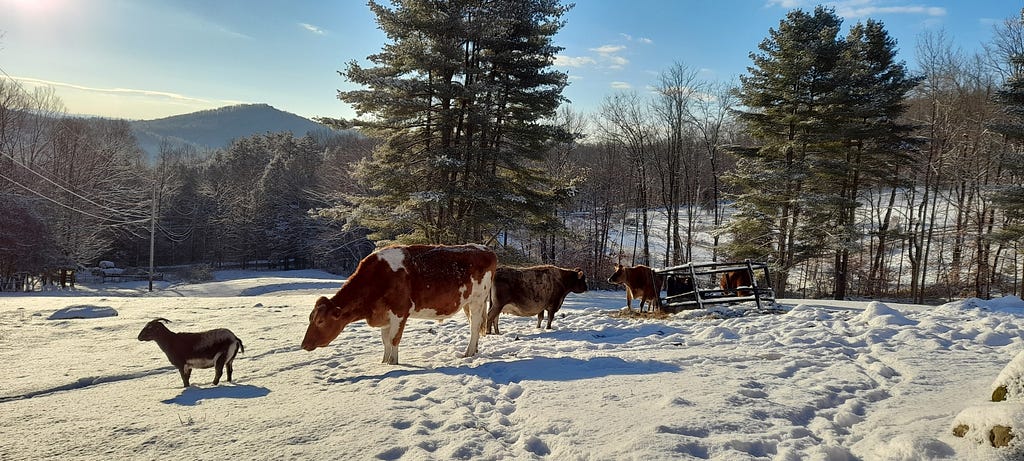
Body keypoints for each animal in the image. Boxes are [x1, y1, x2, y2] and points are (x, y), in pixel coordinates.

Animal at [300, 244, 497, 365]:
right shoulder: (385, 315)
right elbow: (385, 340)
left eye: (320, 321)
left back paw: (468, 353)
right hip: (469, 303)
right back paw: (475, 350)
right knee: (475, 325)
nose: (303, 345)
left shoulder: (400, 312)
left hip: (478, 300)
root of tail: (485, 249)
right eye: (310, 319)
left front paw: (393, 363)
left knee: (474, 327)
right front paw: (384, 361)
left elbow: (394, 339)